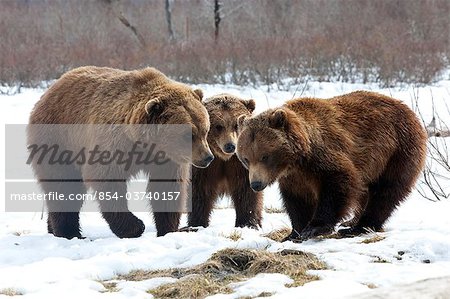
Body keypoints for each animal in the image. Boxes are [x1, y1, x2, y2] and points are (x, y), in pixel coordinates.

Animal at [28, 65, 214, 239]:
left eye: (205, 130)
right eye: (188, 135)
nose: (208, 157)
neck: (146, 144)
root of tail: (48, 91)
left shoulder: (168, 160)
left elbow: (167, 187)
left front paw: (169, 229)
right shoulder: (114, 143)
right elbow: (107, 180)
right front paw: (135, 226)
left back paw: (53, 228)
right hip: (58, 139)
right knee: (63, 186)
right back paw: (69, 232)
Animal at [186, 94, 264, 230]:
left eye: (236, 125)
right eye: (218, 126)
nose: (230, 146)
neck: (224, 158)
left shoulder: (240, 164)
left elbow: (247, 192)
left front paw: (248, 222)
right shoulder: (206, 165)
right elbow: (200, 191)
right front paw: (197, 223)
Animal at [237, 91, 428, 241]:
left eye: (265, 156)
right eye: (245, 158)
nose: (256, 184)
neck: (297, 160)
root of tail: (410, 112)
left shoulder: (323, 157)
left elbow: (338, 182)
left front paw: (315, 227)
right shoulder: (293, 178)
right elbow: (297, 200)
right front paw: (294, 232)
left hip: (397, 151)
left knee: (385, 190)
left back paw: (359, 226)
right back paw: (352, 221)